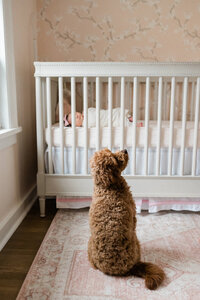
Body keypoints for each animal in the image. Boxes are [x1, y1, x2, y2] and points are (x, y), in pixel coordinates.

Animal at [88, 149, 165, 290]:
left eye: (110, 150)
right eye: (114, 158)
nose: (125, 150)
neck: (107, 187)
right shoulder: (133, 215)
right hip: (135, 243)